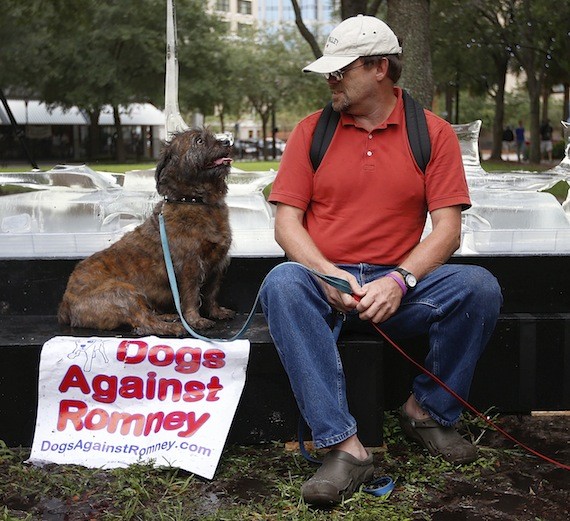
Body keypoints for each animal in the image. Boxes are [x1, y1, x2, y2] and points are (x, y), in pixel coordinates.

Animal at [56, 128, 234, 336]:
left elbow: (212, 293)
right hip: (123, 292)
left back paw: (167, 316)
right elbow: (191, 296)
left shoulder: (218, 263)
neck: (194, 201)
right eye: (199, 141)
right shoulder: (189, 266)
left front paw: (216, 311)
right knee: (144, 323)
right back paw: (173, 326)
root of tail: (65, 305)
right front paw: (195, 320)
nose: (227, 143)